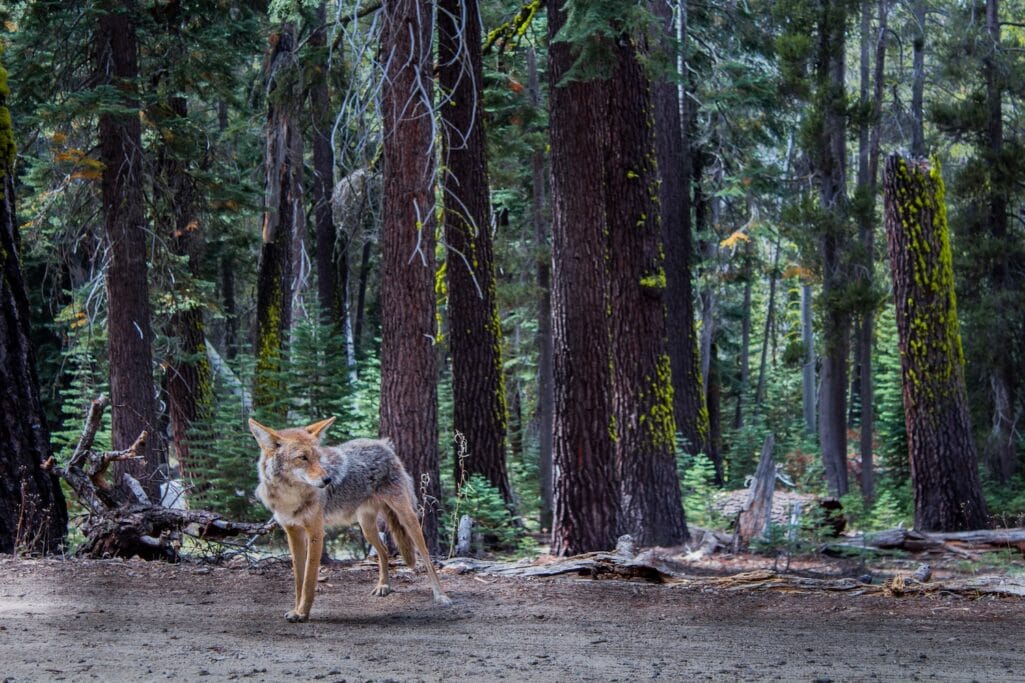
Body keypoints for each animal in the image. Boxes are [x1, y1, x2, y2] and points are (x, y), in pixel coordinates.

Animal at [248, 416, 451, 622]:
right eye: (302, 457)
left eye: (319, 457)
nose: (328, 480)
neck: (290, 498)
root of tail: (383, 443)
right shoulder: (293, 533)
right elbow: (298, 580)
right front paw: (297, 610)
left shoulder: (316, 533)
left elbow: (308, 580)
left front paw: (302, 613)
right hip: (367, 528)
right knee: (384, 550)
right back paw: (384, 586)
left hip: (407, 519)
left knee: (426, 558)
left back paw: (441, 596)